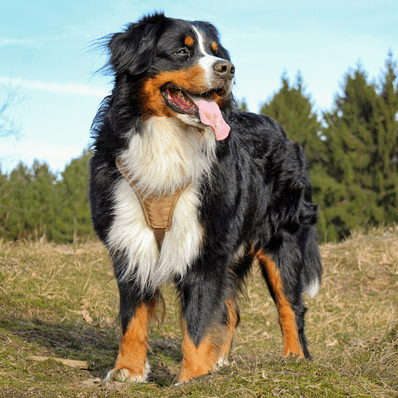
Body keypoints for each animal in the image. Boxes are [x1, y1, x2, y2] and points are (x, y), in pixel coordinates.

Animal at [88, 12, 322, 384]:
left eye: (215, 52)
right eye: (182, 52)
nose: (228, 68)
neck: (167, 142)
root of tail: (286, 135)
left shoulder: (205, 246)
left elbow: (197, 323)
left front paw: (192, 379)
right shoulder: (129, 238)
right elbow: (132, 314)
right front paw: (128, 370)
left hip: (281, 241)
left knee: (290, 306)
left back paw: (294, 359)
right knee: (230, 310)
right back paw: (221, 363)